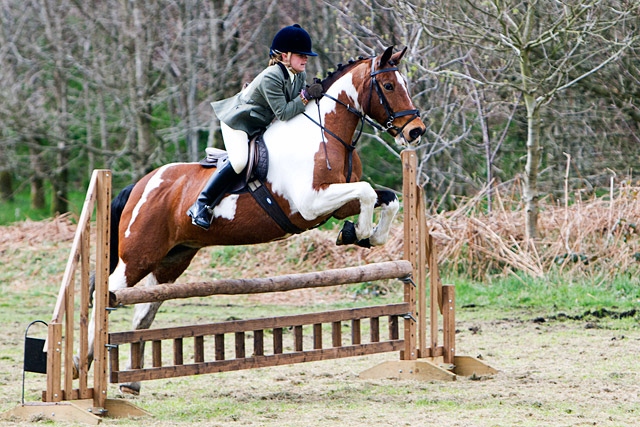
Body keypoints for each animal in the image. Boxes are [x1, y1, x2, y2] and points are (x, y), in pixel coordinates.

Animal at [84, 46, 424, 394]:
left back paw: (130, 383)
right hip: (137, 257)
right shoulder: (311, 204)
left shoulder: (337, 203)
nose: (416, 131)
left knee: (143, 310)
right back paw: (81, 367)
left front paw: (360, 234)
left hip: (171, 260)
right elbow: (368, 192)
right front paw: (358, 232)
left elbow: (388, 198)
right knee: (105, 298)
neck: (325, 134)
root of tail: (140, 186)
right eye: (388, 86)